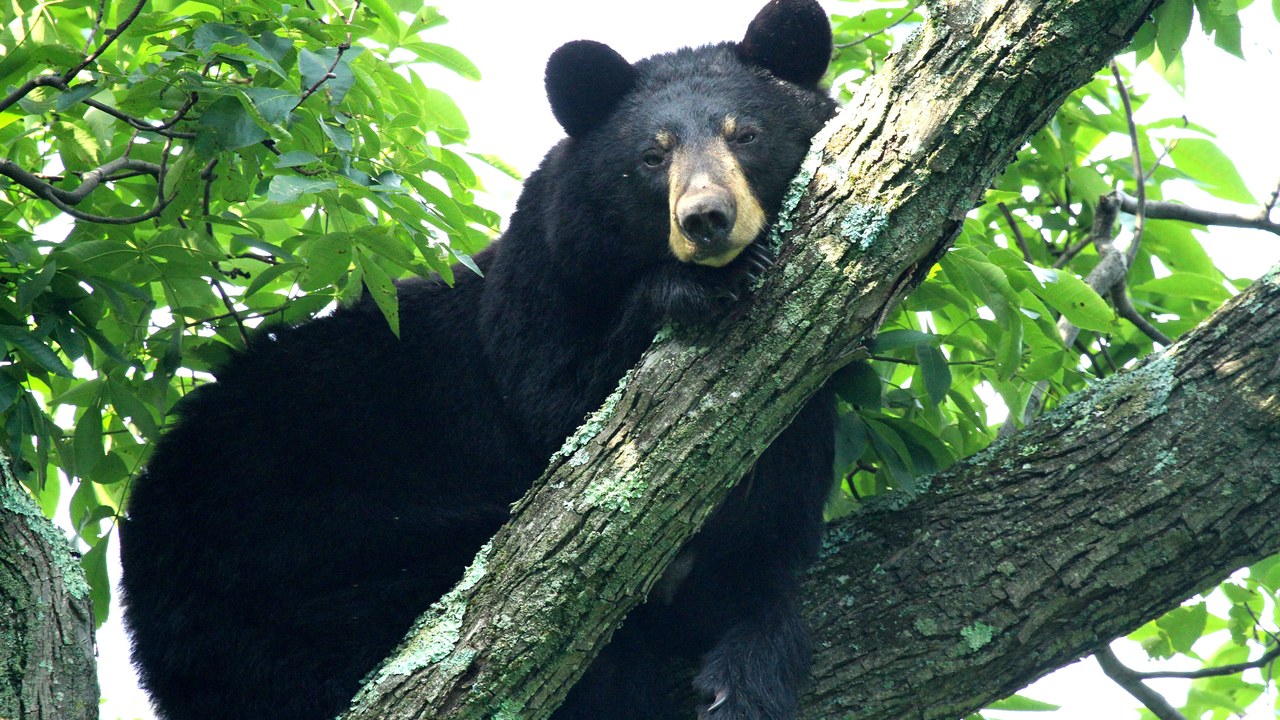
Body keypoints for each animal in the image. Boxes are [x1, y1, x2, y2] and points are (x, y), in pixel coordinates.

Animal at [119, 1, 838, 718]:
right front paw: (691, 289)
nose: (705, 219)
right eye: (651, 156)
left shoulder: (803, 399)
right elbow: (570, 420)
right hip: (306, 559)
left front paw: (748, 668)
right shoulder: (529, 307)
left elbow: (767, 539)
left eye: (746, 135)